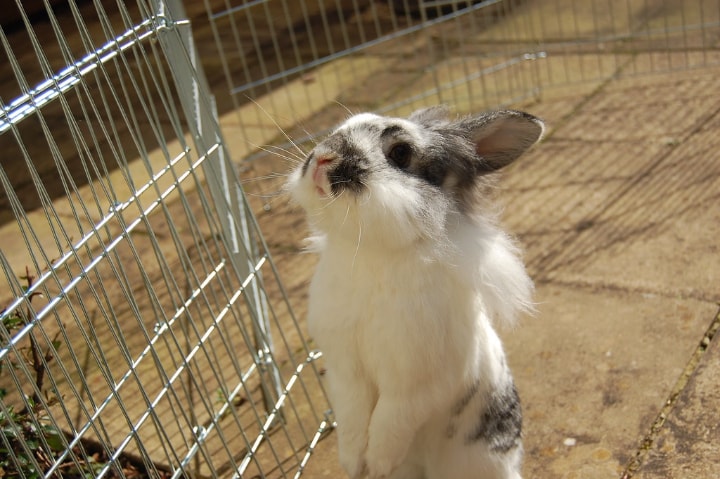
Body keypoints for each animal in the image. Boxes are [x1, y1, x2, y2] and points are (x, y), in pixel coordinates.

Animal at [284, 106, 544, 479]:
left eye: (401, 153)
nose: (322, 158)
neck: (371, 250)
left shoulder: (415, 383)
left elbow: (390, 422)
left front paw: (377, 463)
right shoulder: (345, 370)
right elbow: (352, 417)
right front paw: (353, 462)